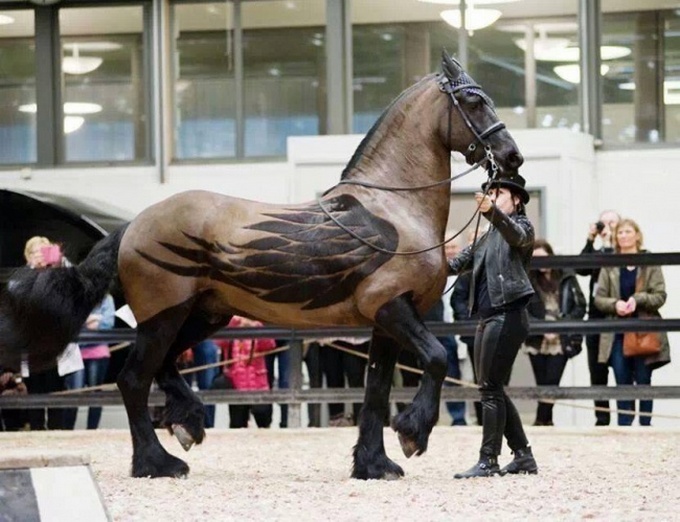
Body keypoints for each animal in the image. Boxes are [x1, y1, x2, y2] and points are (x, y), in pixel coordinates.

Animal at [0, 53, 524, 480]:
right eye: (474, 100)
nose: (512, 157)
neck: (393, 209)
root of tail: (132, 225)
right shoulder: (392, 308)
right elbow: (435, 358)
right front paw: (413, 434)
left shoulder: (384, 322)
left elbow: (375, 391)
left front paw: (374, 465)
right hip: (164, 317)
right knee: (133, 380)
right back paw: (158, 463)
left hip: (204, 315)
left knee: (162, 370)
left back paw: (187, 423)